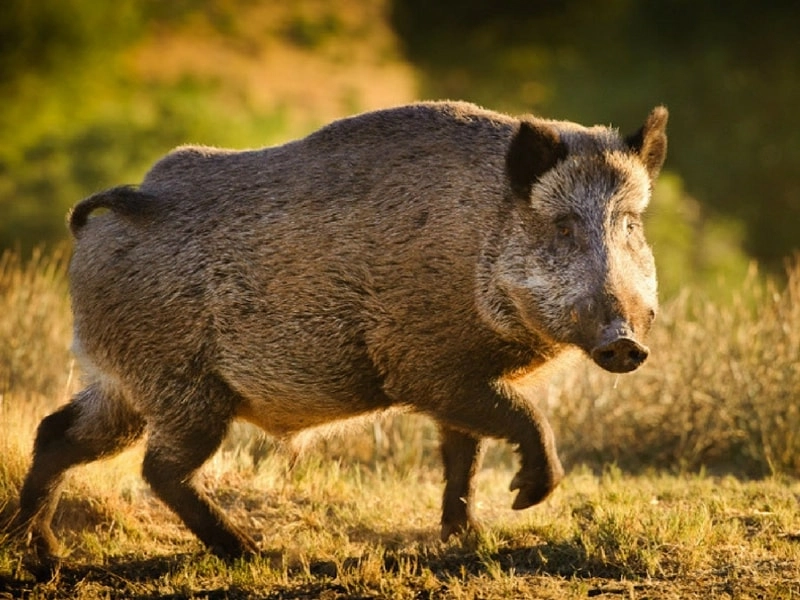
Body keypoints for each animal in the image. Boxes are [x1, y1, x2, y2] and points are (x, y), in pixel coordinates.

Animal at [16, 101, 667, 567]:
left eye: (630, 225)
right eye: (562, 226)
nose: (626, 343)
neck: (478, 240)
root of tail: (100, 224)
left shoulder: (457, 374)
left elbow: (464, 454)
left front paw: (467, 539)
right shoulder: (423, 366)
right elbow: (522, 418)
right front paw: (525, 498)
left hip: (122, 385)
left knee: (57, 433)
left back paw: (40, 556)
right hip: (181, 387)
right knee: (160, 469)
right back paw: (252, 553)